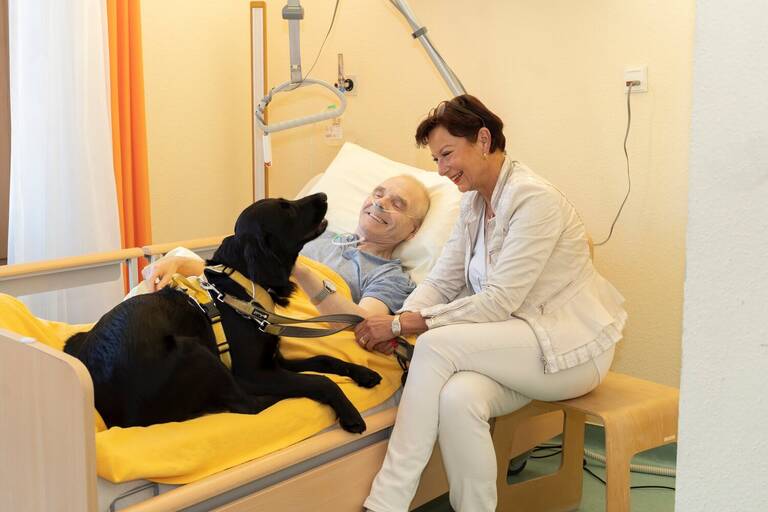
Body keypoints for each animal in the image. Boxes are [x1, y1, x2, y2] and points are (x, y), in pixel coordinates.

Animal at [63, 194, 380, 434]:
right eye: (286, 208)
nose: (323, 196)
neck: (242, 286)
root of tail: (114, 417)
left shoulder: (274, 360)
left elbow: (324, 359)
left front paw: (363, 373)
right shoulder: (254, 372)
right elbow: (319, 380)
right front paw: (349, 413)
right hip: (195, 350)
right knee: (250, 405)